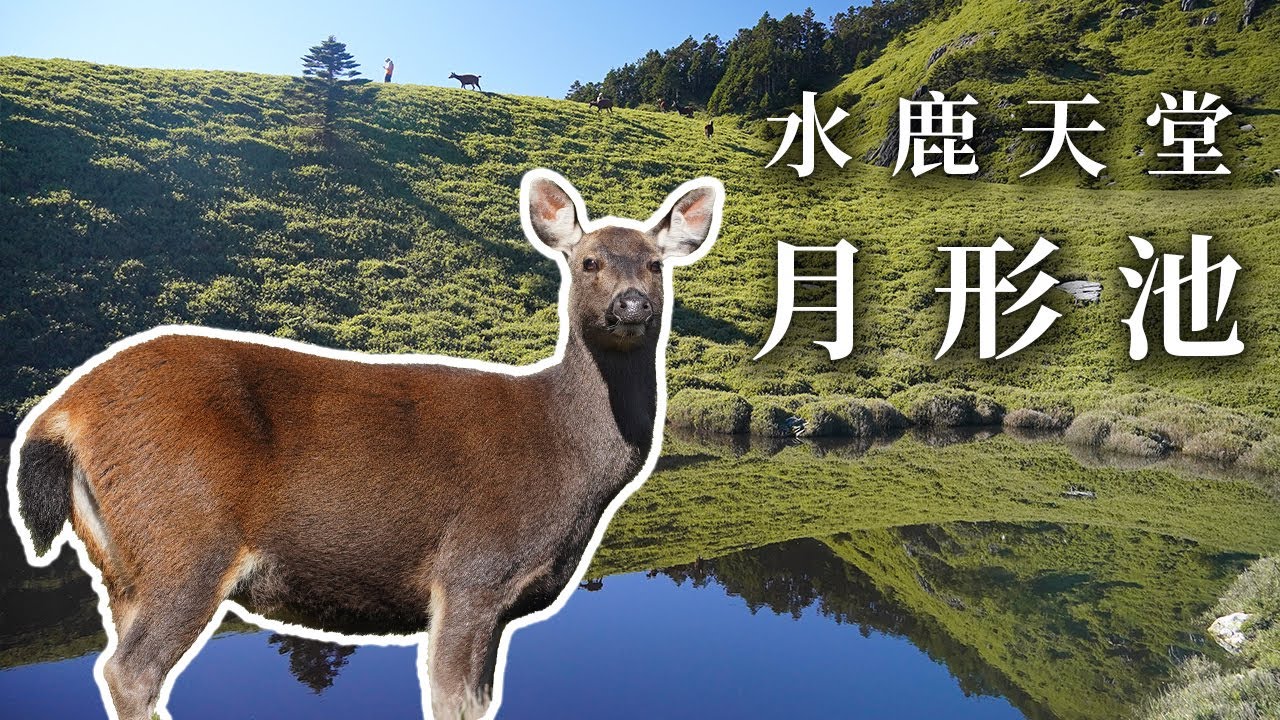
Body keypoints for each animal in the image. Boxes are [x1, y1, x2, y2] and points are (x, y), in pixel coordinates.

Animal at [8, 168, 723, 720]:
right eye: (588, 261)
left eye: (655, 264)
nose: (631, 305)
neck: (569, 466)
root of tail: (59, 412)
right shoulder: (471, 570)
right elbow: (453, 700)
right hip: (184, 535)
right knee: (129, 671)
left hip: (122, 563)